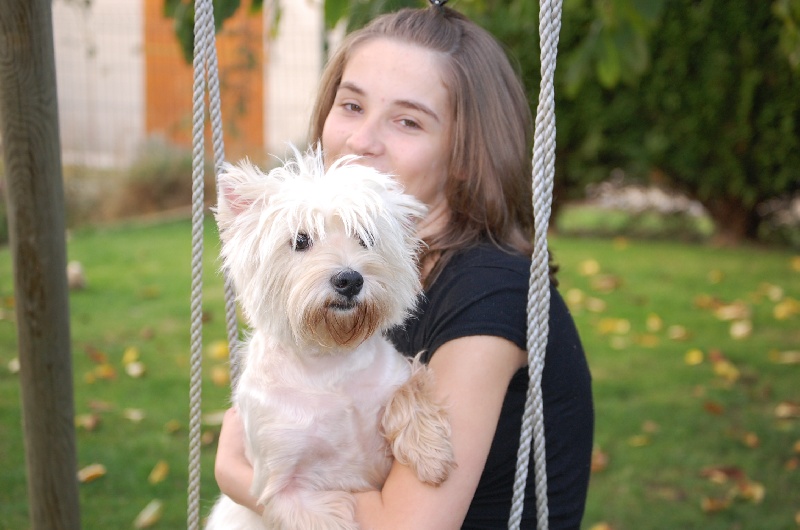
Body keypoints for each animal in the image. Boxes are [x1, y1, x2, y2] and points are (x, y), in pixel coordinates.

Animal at [205, 146, 455, 529]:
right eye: (300, 240)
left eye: (366, 237)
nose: (349, 280)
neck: (328, 360)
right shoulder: (280, 482)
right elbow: (316, 514)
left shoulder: (394, 377)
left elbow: (409, 391)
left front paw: (431, 455)